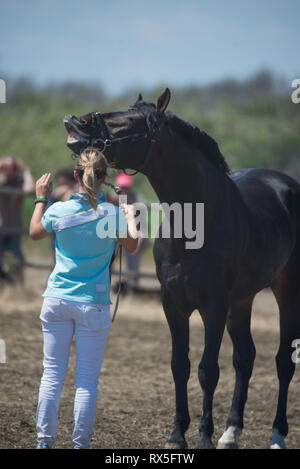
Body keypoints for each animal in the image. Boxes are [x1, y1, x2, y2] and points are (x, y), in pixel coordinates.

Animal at [63, 89, 300, 448]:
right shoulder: (173, 303)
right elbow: (180, 366)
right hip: (242, 299)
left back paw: (276, 435)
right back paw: (230, 432)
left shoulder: (214, 305)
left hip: (285, 291)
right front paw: (177, 436)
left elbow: (207, 371)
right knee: (245, 357)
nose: (75, 121)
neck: (196, 222)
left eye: (129, 121)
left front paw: (202, 438)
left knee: (283, 361)